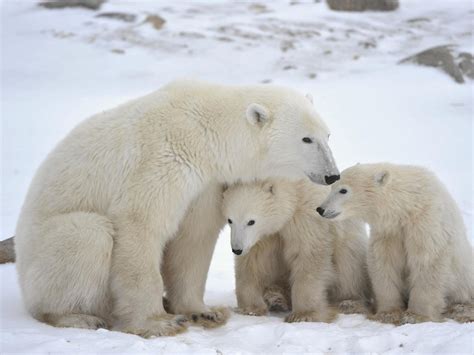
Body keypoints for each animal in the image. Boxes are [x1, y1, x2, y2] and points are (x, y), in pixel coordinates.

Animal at [13, 80, 340, 340]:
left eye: (328, 135)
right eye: (306, 138)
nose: (332, 175)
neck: (205, 131)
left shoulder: (205, 183)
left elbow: (193, 238)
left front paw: (204, 312)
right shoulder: (162, 160)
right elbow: (141, 224)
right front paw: (158, 323)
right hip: (43, 254)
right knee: (87, 235)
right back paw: (76, 315)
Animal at [222, 179, 370, 324]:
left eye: (251, 221)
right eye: (230, 220)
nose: (237, 249)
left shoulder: (306, 216)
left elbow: (308, 255)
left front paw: (304, 315)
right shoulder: (262, 237)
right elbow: (253, 262)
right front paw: (250, 309)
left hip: (349, 241)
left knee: (348, 268)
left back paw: (348, 303)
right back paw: (275, 297)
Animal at [316, 164, 474, 326]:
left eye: (343, 190)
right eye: (332, 187)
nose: (321, 209)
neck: (407, 205)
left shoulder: (426, 222)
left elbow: (427, 261)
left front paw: (415, 316)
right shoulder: (389, 231)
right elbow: (384, 263)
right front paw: (387, 314)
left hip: (465, 277)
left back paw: (462, 310)